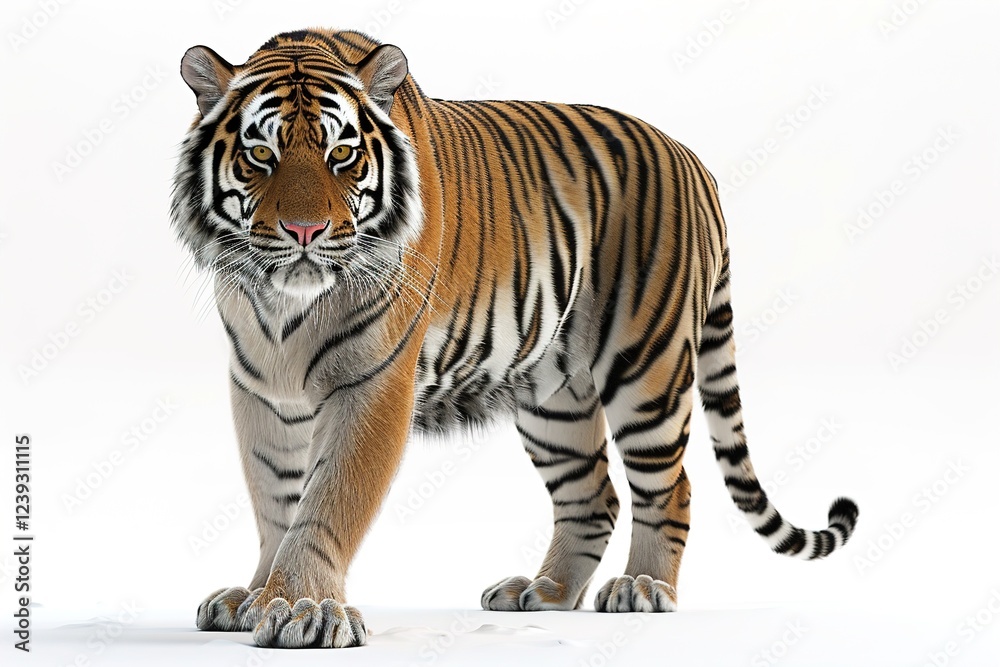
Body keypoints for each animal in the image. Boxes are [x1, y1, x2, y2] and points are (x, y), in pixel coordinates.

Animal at [171, 28, 859, 649]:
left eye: (342, 155)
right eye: (262, 155)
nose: (306, 230)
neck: (284, 304)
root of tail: (695, 161)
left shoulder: (374, 382)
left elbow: (330, 498)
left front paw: (303, 608)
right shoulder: (263, 388)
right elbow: (275, 499)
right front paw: (255, 596)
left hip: (648, 370)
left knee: (670, 485)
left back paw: (643, 588)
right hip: (553, 397)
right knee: (594, 496)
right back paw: (546, 592)